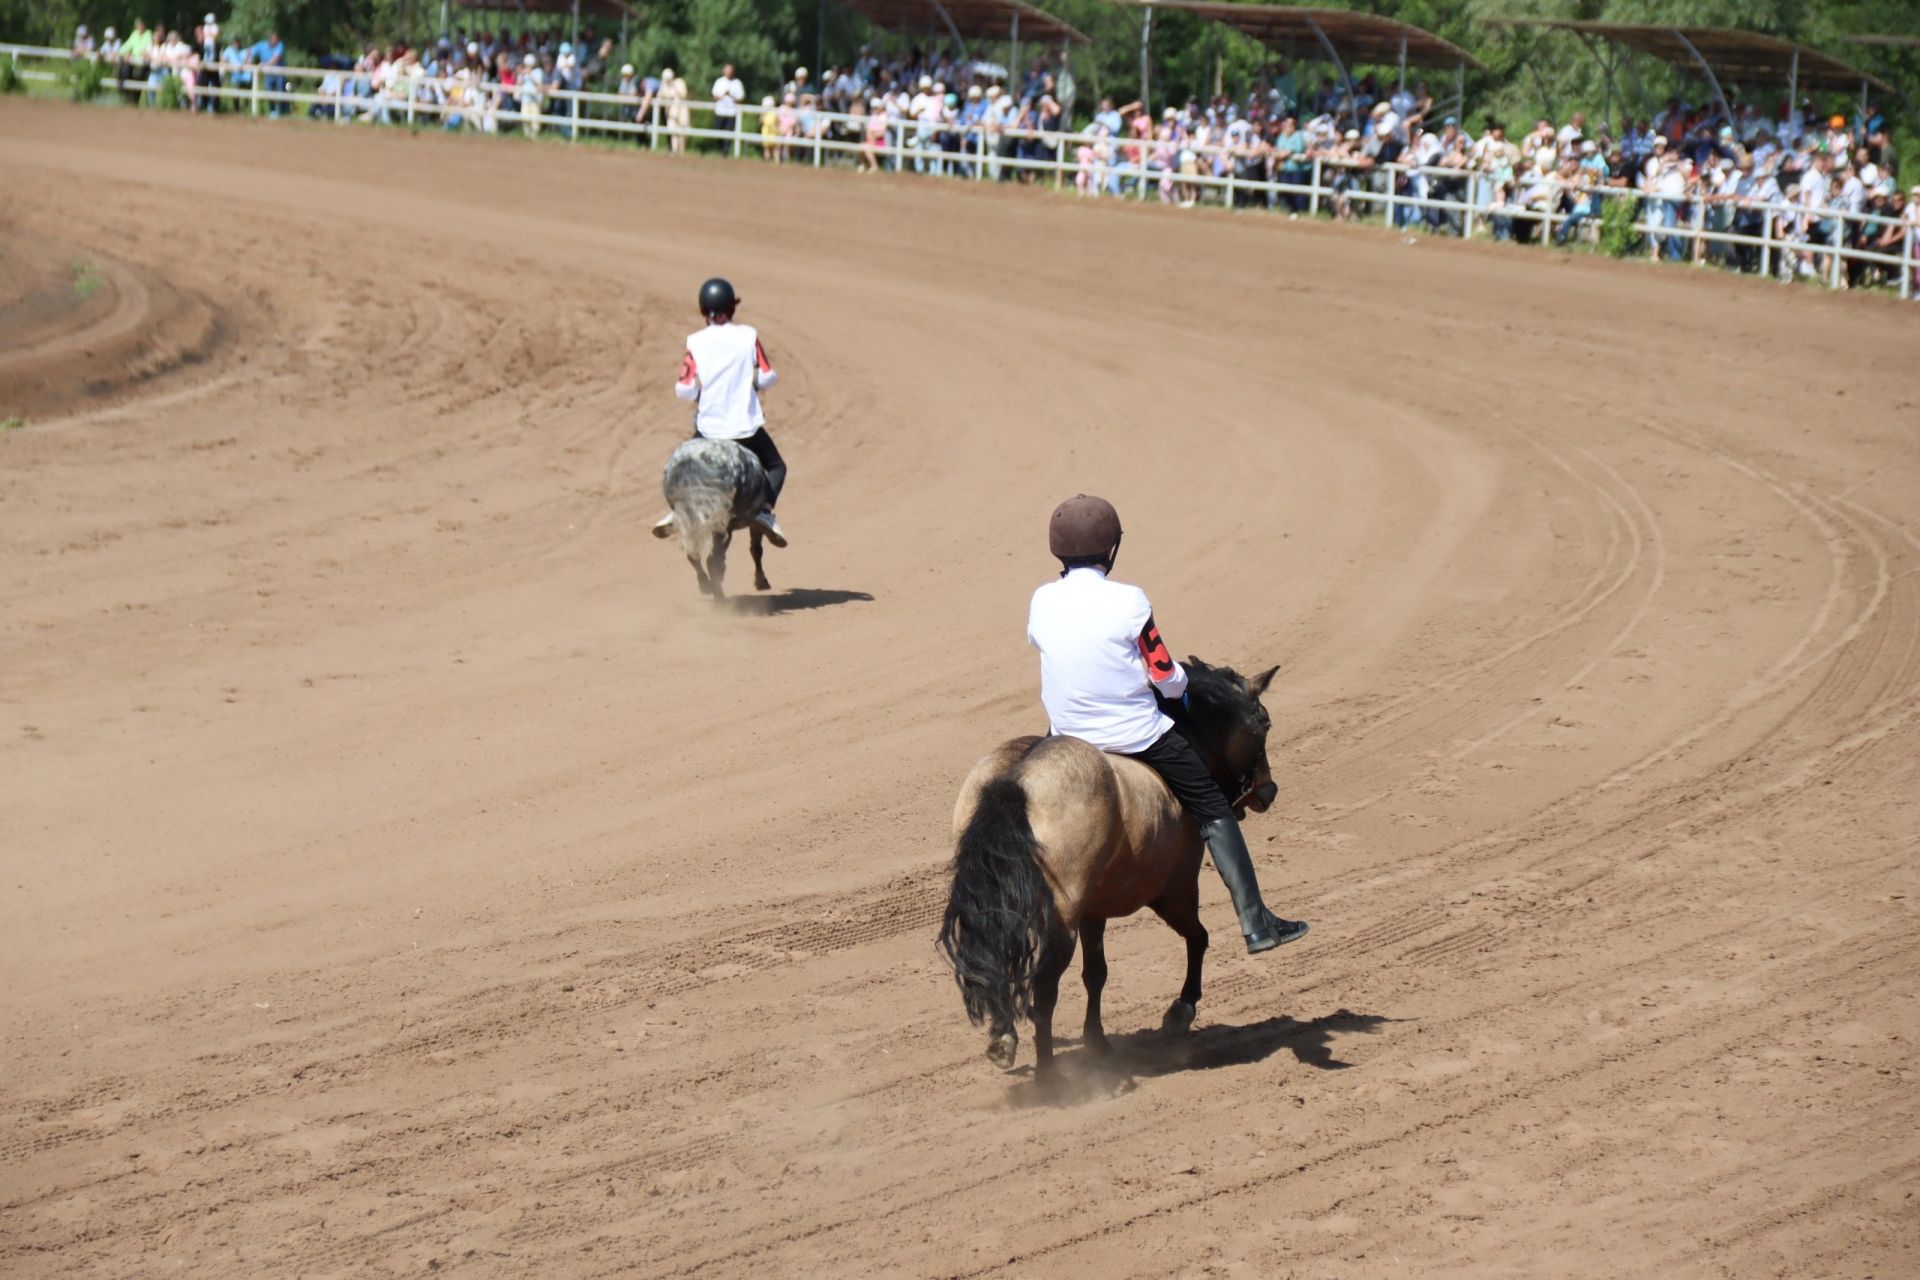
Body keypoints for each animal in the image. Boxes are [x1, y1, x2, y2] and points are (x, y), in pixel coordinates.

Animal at [660, 435, 771, 602]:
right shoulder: (750, 520)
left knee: (694, 554)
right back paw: (720, 599)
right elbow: (756, 548)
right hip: (721, 523)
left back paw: (706, 586)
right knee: (712, 560)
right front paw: (761, 581)